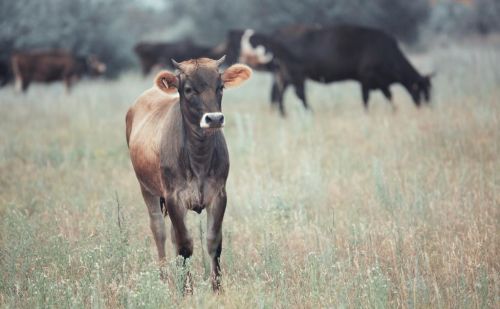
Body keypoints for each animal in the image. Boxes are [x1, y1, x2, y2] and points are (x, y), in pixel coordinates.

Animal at [228, 24, 434, 115]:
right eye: (422, 90)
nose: (426, 107)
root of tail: (278, 34)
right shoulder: (366, 78)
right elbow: (366, 99)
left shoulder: (381, 82)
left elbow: (389, 96)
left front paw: (394, 111)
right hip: (295, 74)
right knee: (299, 95)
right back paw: (309, 113)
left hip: (283, 75)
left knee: (278, 95)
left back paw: (283, 114)